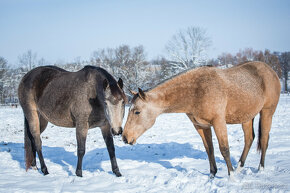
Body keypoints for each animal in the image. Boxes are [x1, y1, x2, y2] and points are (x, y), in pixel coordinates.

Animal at [122, 61, 280, 178]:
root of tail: (271, 70)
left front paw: (231, 177)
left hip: (267, 113)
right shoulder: (201, 125)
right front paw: (212, 175)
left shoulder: (218, 122)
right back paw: (239, 168)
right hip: (246, 117)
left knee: (264, 139)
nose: (125, 137)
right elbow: (209, 149)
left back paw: (260, 169)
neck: (197, 90)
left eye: (137, 112)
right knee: (249, 139)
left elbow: (224, 149)